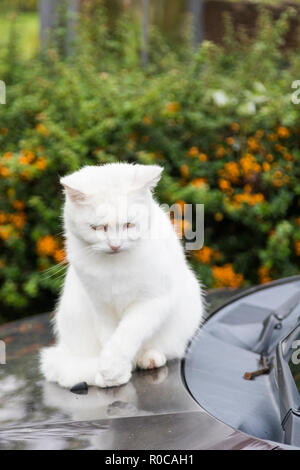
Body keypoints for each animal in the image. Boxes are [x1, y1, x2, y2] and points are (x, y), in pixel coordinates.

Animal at [39, 163, 204, 388]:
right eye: (97, 228)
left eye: (128, 225)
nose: (115, 245)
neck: (115, 267)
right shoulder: (101, 307)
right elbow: (110, 337)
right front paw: (115, 373)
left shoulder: (152, 301)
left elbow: (127, 334)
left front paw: (113, 367)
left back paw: (149, 357)